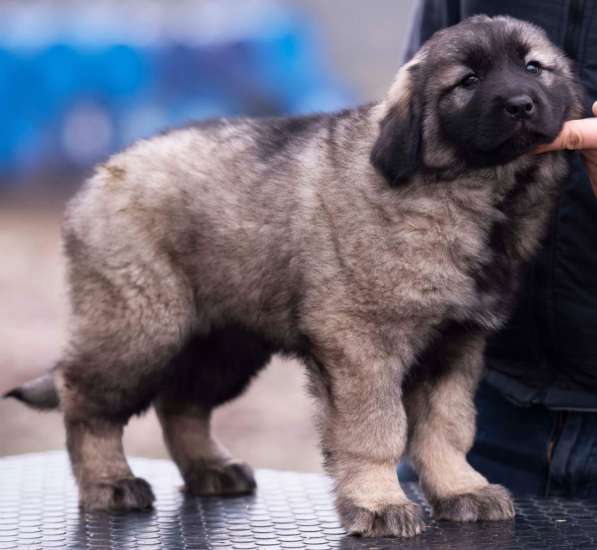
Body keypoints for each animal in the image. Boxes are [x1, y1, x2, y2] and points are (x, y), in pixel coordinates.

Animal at [4, 16, 584, 540]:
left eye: (534, 68)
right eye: (467, 81)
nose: (520, 104)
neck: (473, 192)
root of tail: (100, 175)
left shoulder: (456, 346)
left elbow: (447, 427)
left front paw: (461, 489)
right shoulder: (361, 345)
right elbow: (376, 430)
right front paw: (378, 503)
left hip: (225, 342)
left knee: (180, 402)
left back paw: (210, 467)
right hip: (141, 325)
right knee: (85, 398)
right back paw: (108, 481)